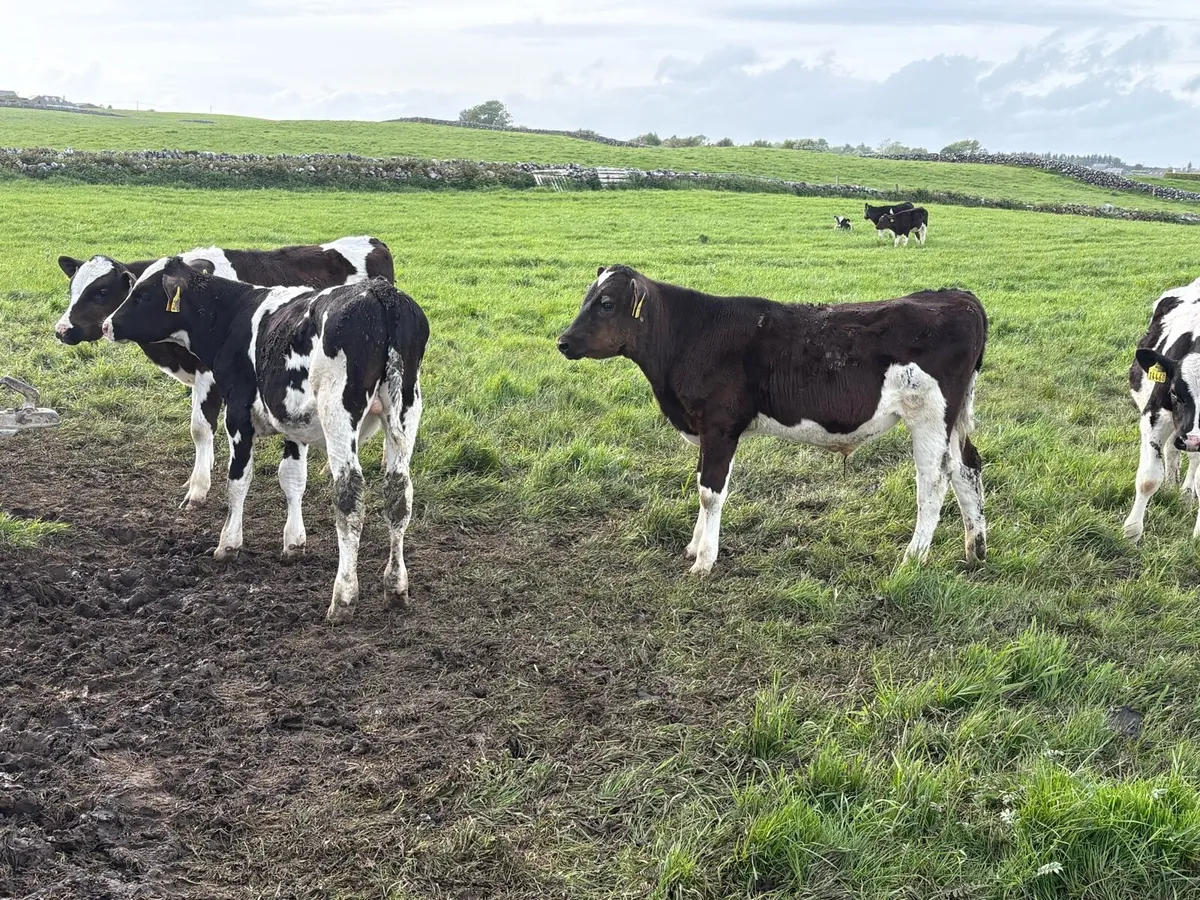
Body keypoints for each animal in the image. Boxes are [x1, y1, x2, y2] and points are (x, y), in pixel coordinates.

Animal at [54, 237, 394, 509]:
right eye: (72, 289)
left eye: (101, 291)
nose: (62, 330)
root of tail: (373, 242)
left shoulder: (209, 375)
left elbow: (200, 428)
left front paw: (197, 489)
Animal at [102, 258, 428, 624]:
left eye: (143, 294)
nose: (107, 324)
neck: (232, 316)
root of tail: (380, 293)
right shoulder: (293, 421)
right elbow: (292, 479)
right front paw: (294, 543)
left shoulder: (238, 414)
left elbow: (238, 481)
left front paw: (228, 543)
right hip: (406, 407)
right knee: (399, 493)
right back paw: (396, 587)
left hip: (338, 411)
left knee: (349, 496)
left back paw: (343, 597)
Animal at [557, 266, 988, 571]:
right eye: (587, 298)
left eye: (606, 303)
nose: (562, 341)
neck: (691, 335)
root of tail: (958, 296)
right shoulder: (707, 429)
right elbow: (701, 483)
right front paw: (694, 547)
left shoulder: (719, 426)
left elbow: (710, 492)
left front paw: (704, 560)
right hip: (953, 418)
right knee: (968, 467)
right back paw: (976, 549)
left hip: (929, 415)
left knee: (934, 480)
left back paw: (913, 557)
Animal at [1123, 277, 1200, 543]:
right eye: (1175, 393)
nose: (1193, 439)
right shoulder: (1154, 415)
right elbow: (1148, 479)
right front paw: (1132, 532)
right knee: (1172, 450)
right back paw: (1171, 485)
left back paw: (1186, 492)